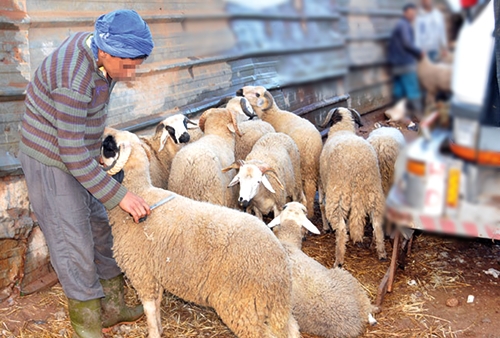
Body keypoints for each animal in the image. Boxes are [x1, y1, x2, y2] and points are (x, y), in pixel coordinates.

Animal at [99, 127, 298, 338]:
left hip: (240, 304)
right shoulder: (154, 273)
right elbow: (158, 304)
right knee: (291, 328)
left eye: (109, 145)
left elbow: (150, 310)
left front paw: (153, 332)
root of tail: (278, 264)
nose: (105, 130)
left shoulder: (141, 272)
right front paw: (160, 329)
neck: (140, 192)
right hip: (277, 306)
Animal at [236, 86, 322, 219]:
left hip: (302, 168)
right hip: (312, 167)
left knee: (307, 190)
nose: (240, 91)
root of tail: (313, 143)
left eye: (257, 94)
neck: (273, 114)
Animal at [318, 107, 388, 266]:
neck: (342, 128)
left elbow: (321, 204)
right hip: (374, 193)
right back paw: (382, 253)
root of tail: (358, 168)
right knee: (377, 225)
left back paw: (338, 260)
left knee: (341, 229)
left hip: (337, 195)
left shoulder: (324, 185)